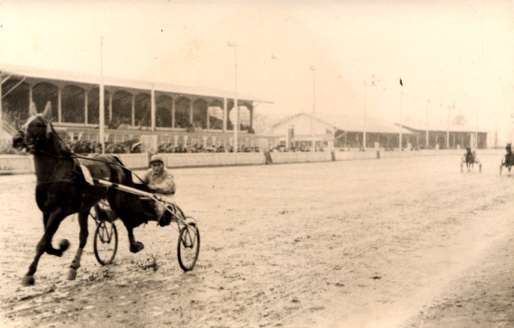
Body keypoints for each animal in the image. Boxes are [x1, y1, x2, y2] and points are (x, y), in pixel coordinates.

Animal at [12, 103, 168, 288]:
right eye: (25, 121)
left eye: (38, 124)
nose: (16, 139)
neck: (56, 173)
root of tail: (113, 157)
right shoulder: (46, 212)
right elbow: (47, 242)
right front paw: (61, 247)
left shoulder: (59, 211)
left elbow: (43, 242)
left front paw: (29, 273)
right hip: (85, 207)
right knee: (85, 235)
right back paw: (74, 266)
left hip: (117, 198)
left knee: (127, 221)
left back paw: (134, 245)